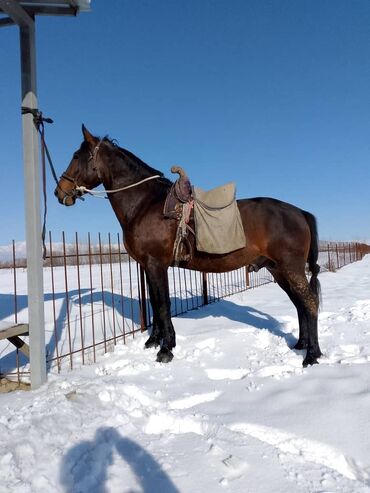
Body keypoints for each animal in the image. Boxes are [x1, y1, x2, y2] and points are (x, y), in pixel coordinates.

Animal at [55, 127, 320, 366]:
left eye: (76, 156)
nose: (60, 192)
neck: (145, 203)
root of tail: (300, 212)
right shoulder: (148, 267)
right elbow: (154, 303)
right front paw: (154, 341)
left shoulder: (156, 265)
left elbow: (163, 305)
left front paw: (166, 349)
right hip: (279, 270)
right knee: (299, 305)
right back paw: (300, 345)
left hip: (291, 269)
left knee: (310, 303)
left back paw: (312, 356)